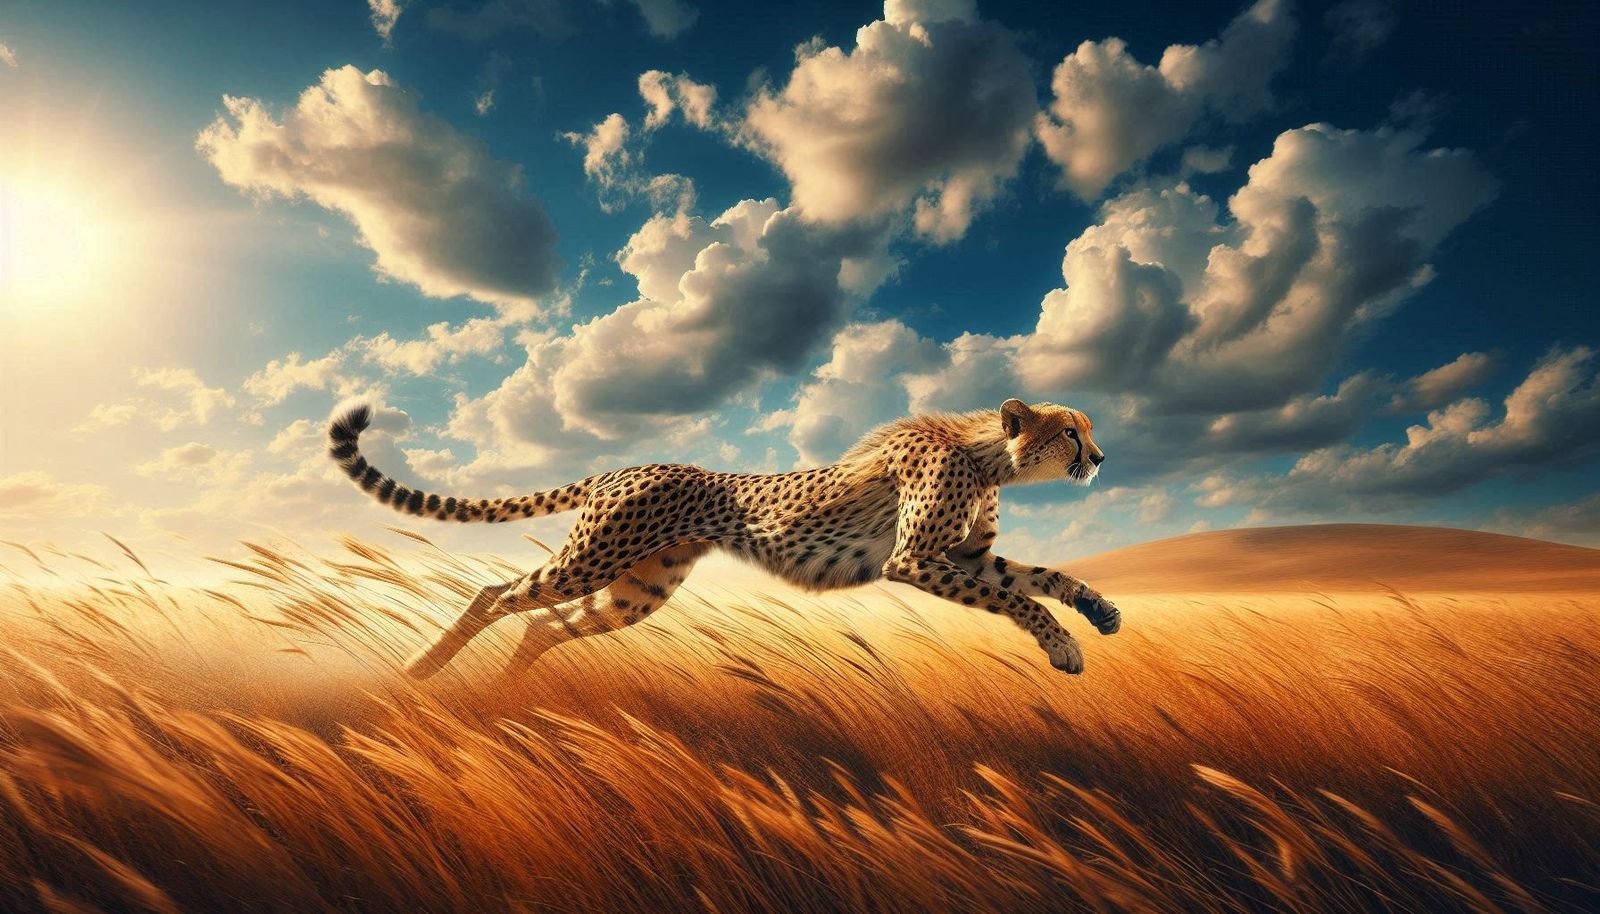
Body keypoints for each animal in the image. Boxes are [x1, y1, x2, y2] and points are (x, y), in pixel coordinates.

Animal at [326, 398, 1122, 679]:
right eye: (1070, 431)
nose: (1100, 457)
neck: (988, 454)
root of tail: (625, 465)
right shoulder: (914, 560)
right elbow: (1022, 600)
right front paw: (1066, 646)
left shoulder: (964, 556)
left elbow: (1041, 578)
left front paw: (1099, 612)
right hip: (595, 560)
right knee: (497, 593)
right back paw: (424, 668)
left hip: (638, 589)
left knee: (546, 624)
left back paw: (507, 696)